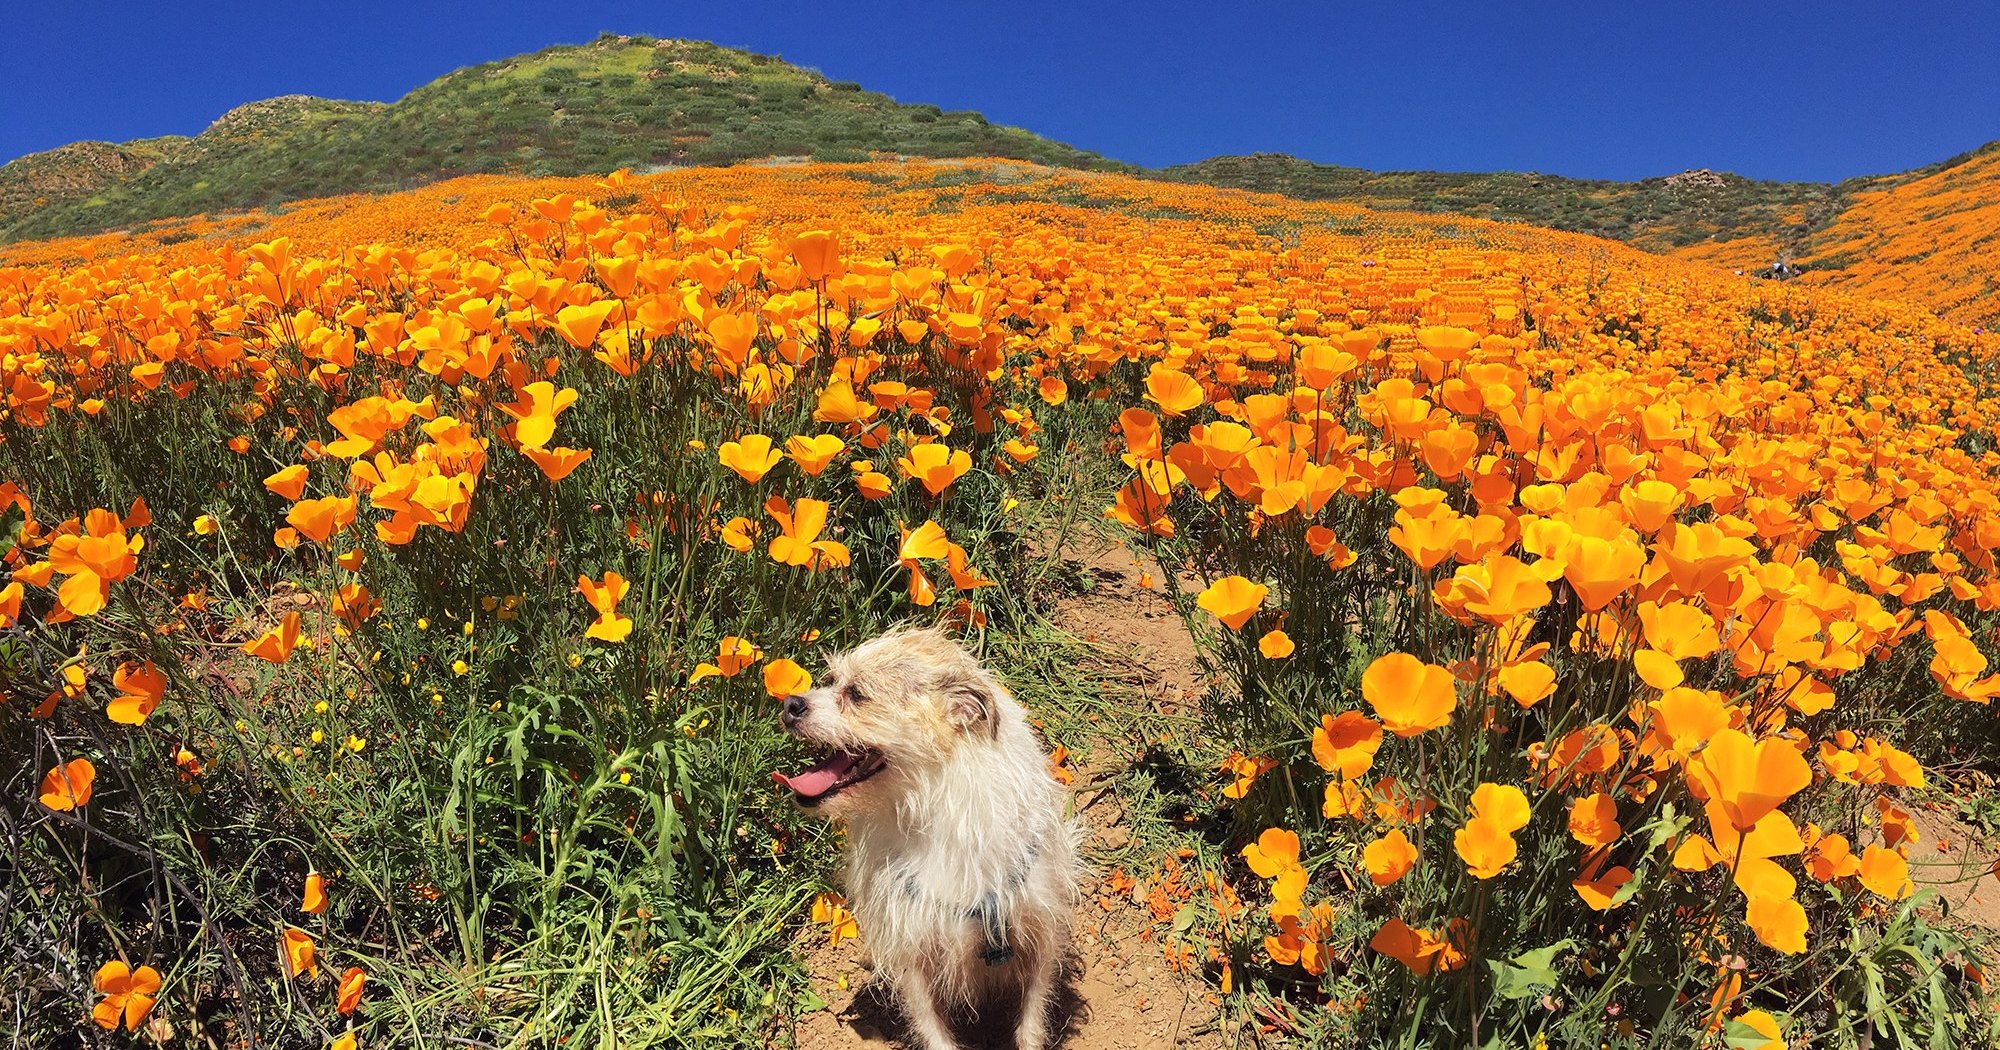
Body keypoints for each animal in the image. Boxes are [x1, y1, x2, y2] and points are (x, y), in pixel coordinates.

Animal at [772, 628, 1080, 1048]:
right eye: (834, 680)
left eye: (857, 694)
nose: (789, 703)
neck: (930, 804)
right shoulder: (911, 951)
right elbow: (931, 1027)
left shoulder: (1039, 932)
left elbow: (1032, 1018)